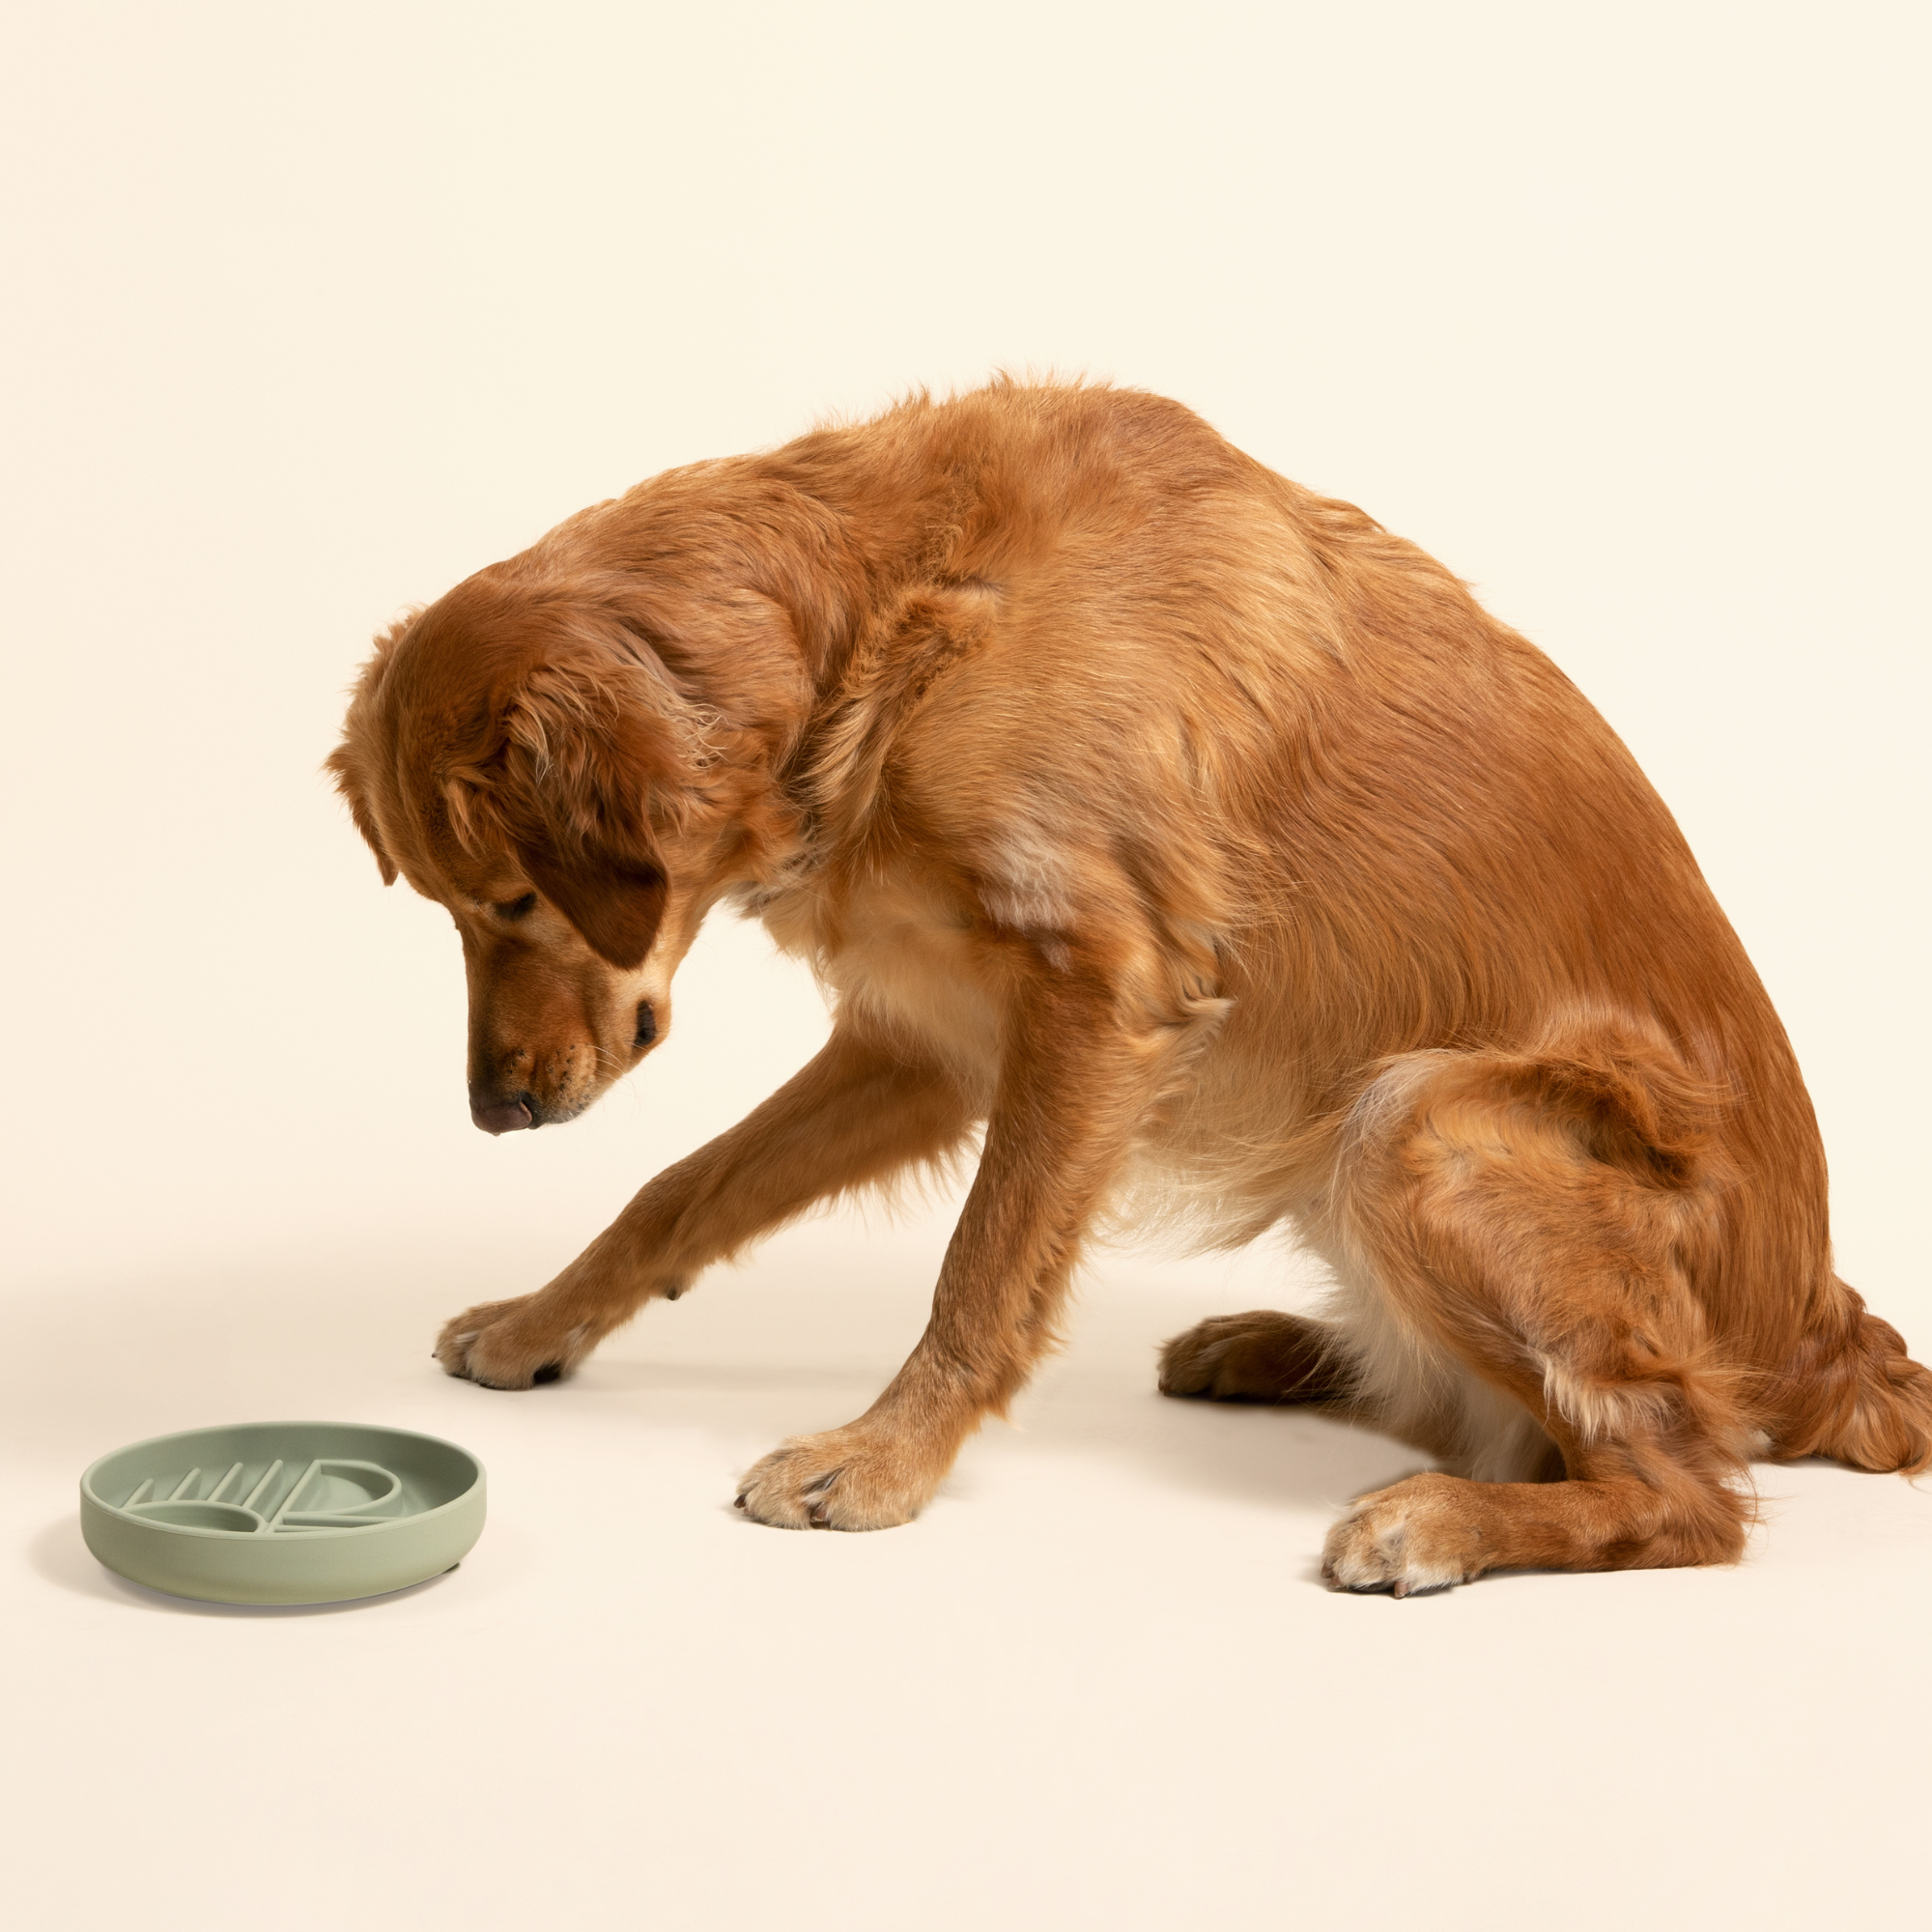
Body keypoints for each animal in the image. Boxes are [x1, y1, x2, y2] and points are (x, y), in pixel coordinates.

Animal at [325, 377, 1924, 1584]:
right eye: (451, 910)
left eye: (514, 901)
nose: (494, 1114)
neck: (899, 607)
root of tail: (1823, 1330)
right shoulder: (928, 1042)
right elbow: (682, 1191)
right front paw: (539, 1326)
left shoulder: (1097, 998)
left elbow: (982, 1270)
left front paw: (879, 1460)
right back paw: (1279, 1349)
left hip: (1422, 1117)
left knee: (1685, 1486)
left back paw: (1438, 1522)